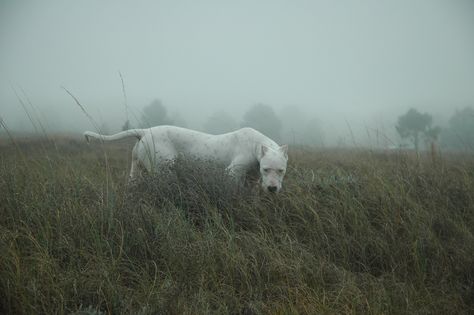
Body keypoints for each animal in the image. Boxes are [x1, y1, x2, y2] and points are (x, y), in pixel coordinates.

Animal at [83, 126, 286, 193]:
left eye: (281, 171)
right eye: (266, 169)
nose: (272, 188)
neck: (255, 144)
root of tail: (145, 131)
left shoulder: (251, 178)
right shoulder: (232, 173)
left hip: (137, 167)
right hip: (164, 169)